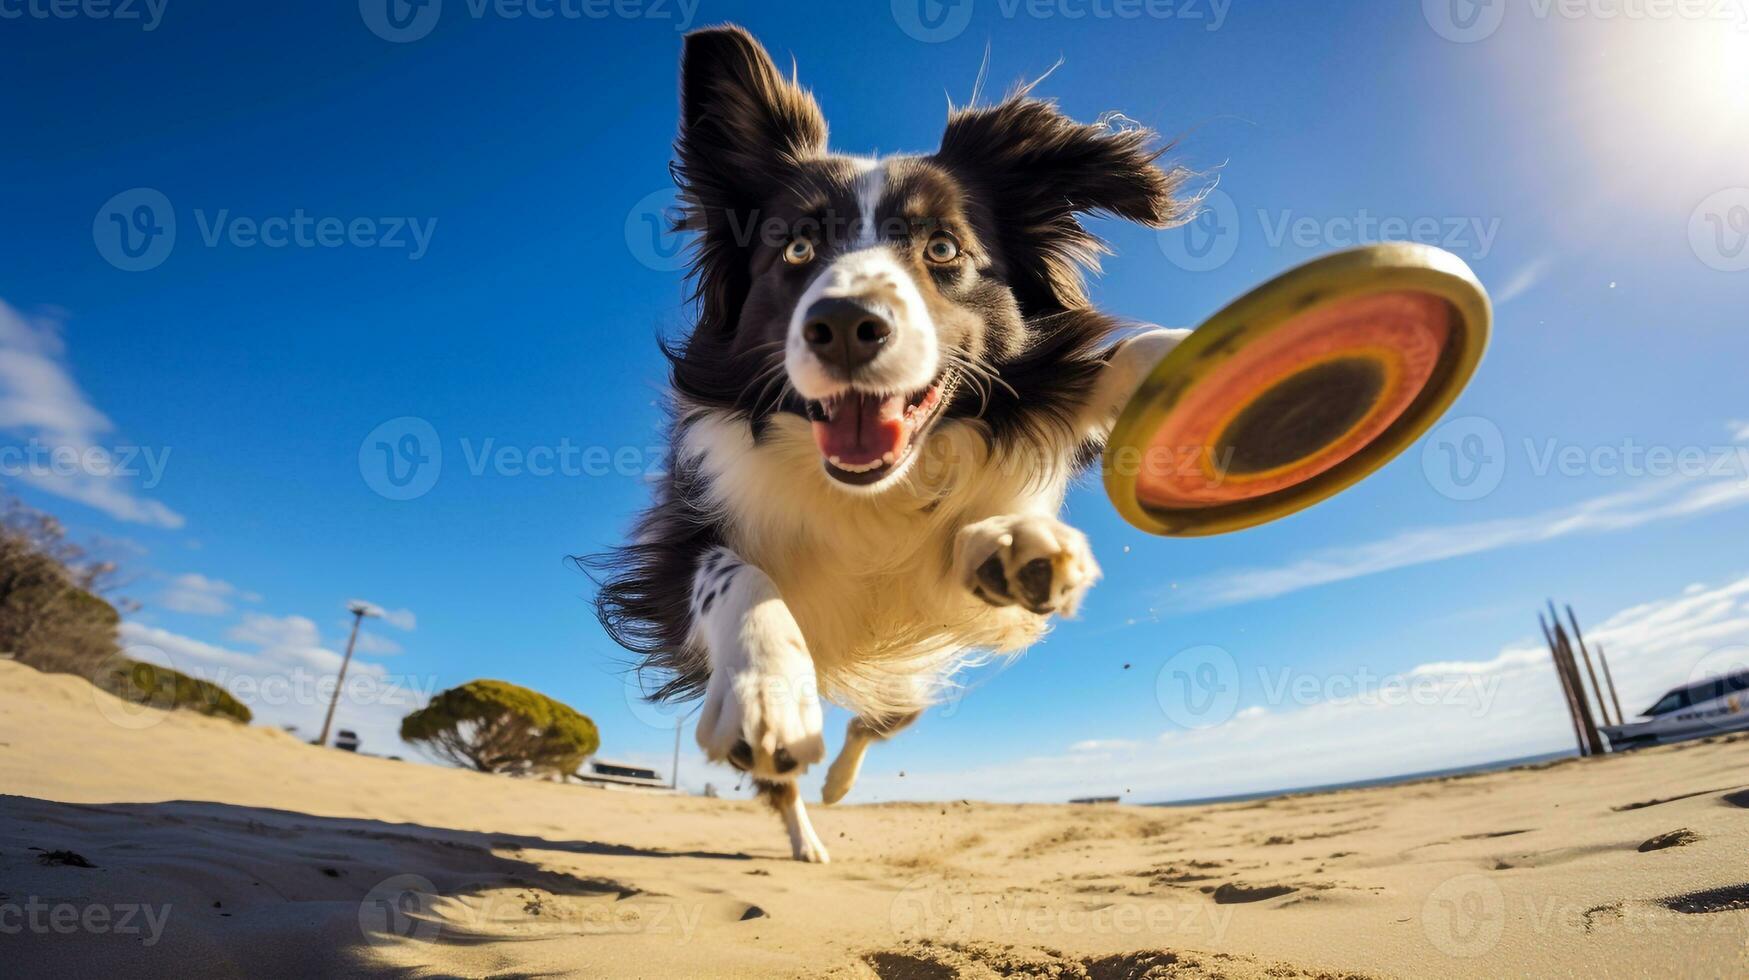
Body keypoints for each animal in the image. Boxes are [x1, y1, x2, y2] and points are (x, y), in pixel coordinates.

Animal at [598, 24, 1189, 864]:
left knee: (883, 716)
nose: (845, 324)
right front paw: (764, 685)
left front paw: (1012, 540)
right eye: (796, 249)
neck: (873, 488)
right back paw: (806, 828)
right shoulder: (670, 552)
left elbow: (1103, 371)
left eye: (942, 249)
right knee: (793, 767)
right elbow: (732, 575)